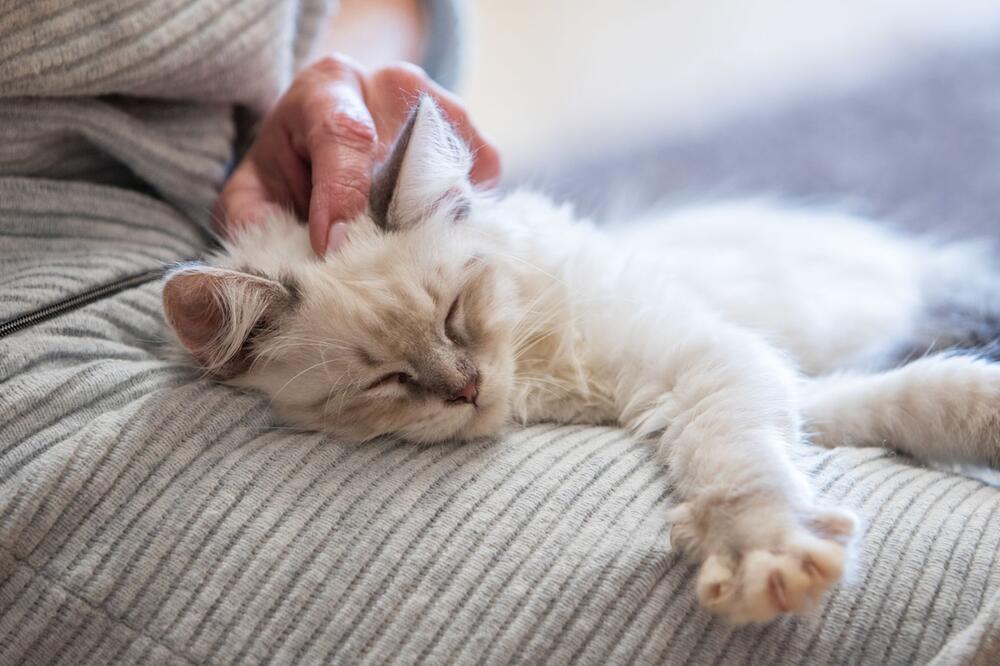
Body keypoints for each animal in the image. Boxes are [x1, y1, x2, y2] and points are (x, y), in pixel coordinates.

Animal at [162, 97, 1000, 624]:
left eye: (454, 314)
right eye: (387, 379)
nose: (466, 389)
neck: (550, 378)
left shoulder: (699, 357)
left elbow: (749, 462)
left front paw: (764, 553)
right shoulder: (768, 379)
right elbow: (888, 405)